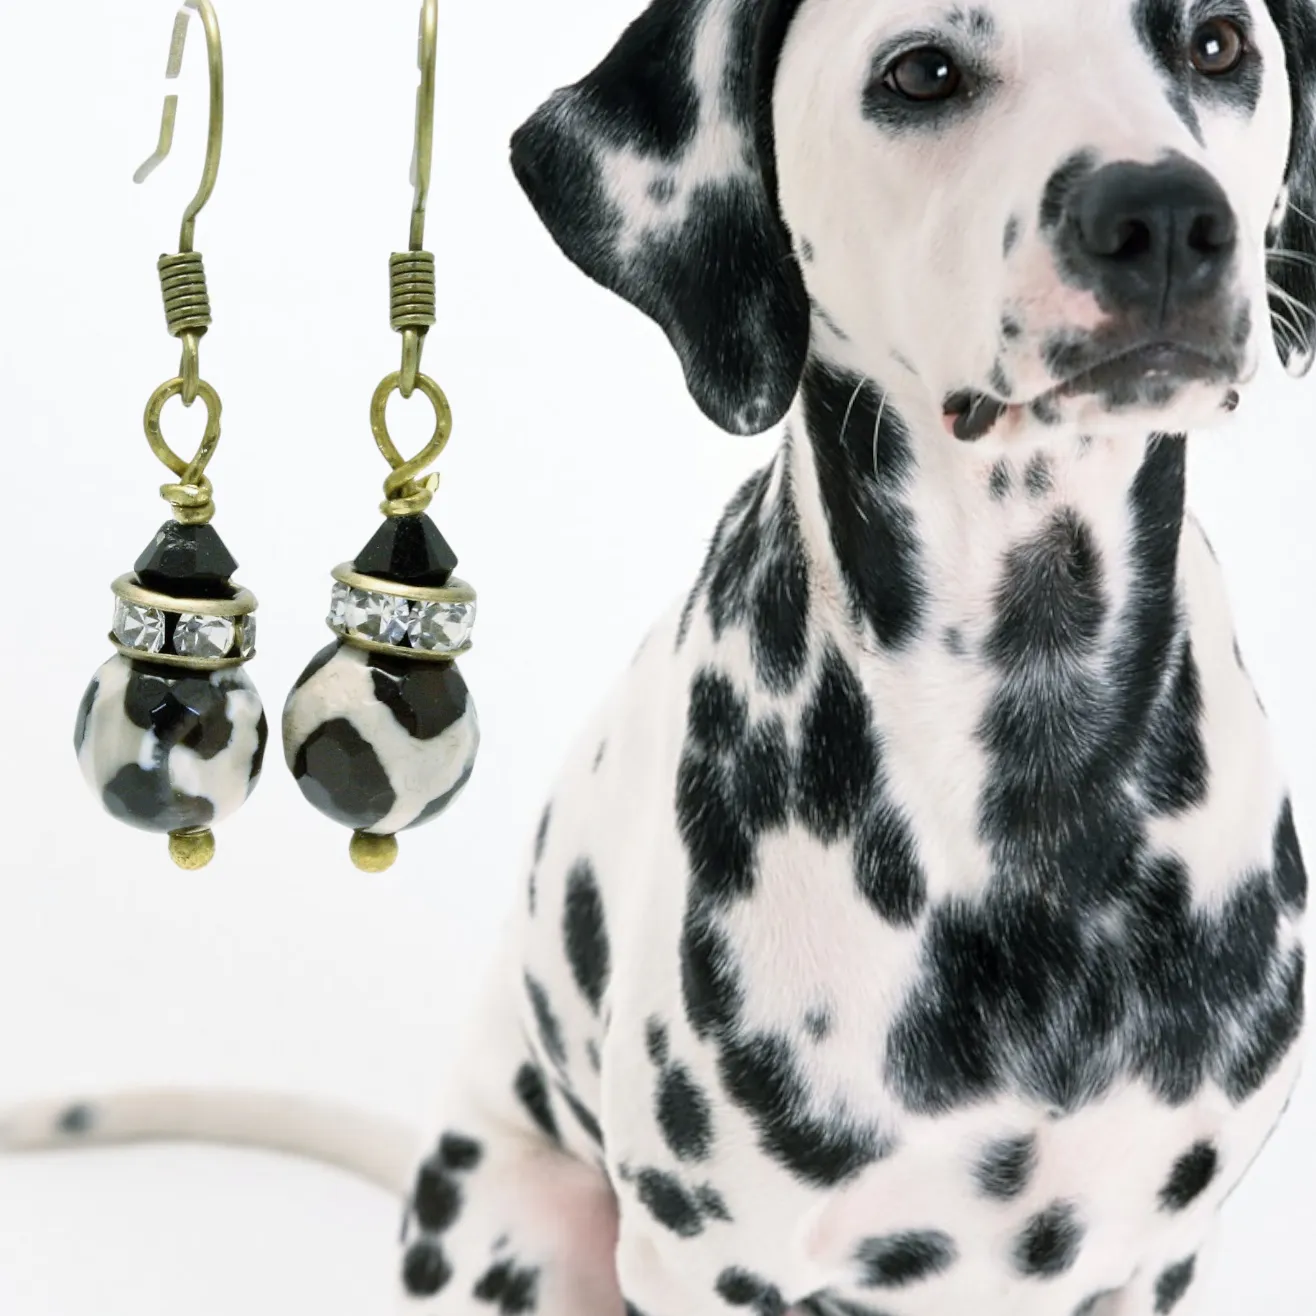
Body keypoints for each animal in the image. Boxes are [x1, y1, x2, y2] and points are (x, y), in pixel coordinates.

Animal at [2, 2, 1316, 1316]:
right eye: (921, 71)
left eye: (1214, 43)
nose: (1160, 216)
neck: (1028, 762)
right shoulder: (709, 1258)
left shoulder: (1153, 1255)